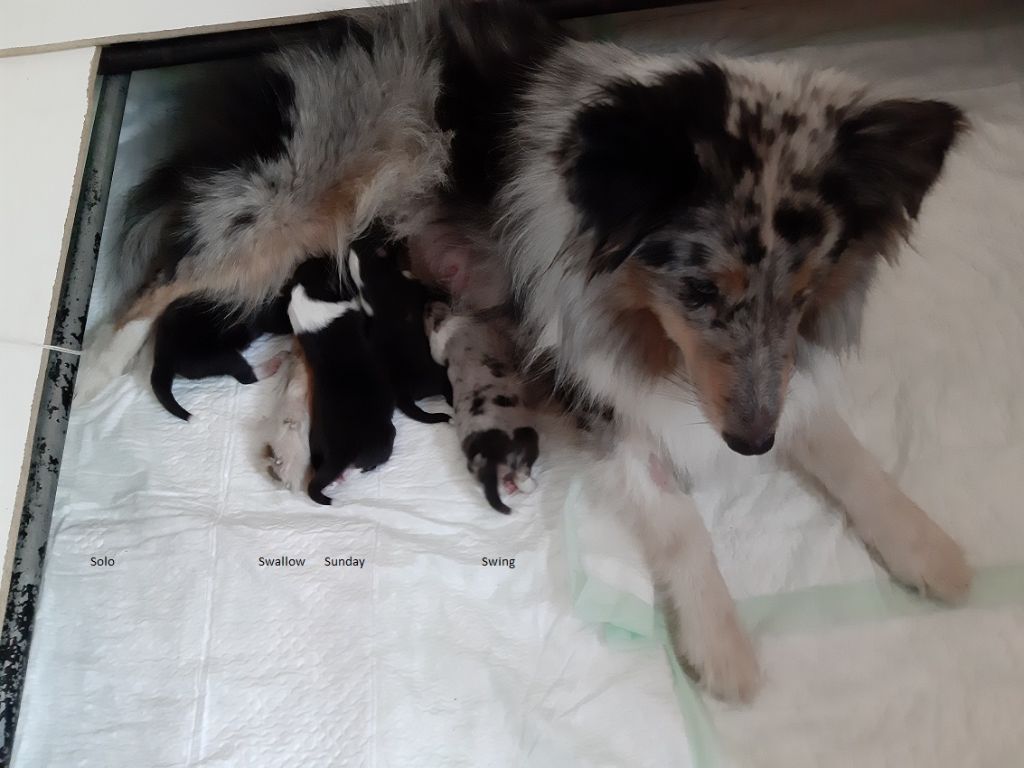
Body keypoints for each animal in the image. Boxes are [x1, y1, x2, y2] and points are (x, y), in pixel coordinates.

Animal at [292, 252, 399, 505]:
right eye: (330, 268)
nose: (328, 254)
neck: (308, 294)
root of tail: (339, 454)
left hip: (316, 443)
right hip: (385, 437)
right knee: (370, 462)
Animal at [354, 222, 454, 428]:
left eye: (369, 229)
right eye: (383, 232)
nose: (382, 220)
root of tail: (402, 395)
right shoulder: (415, 286)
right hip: (439, 376)